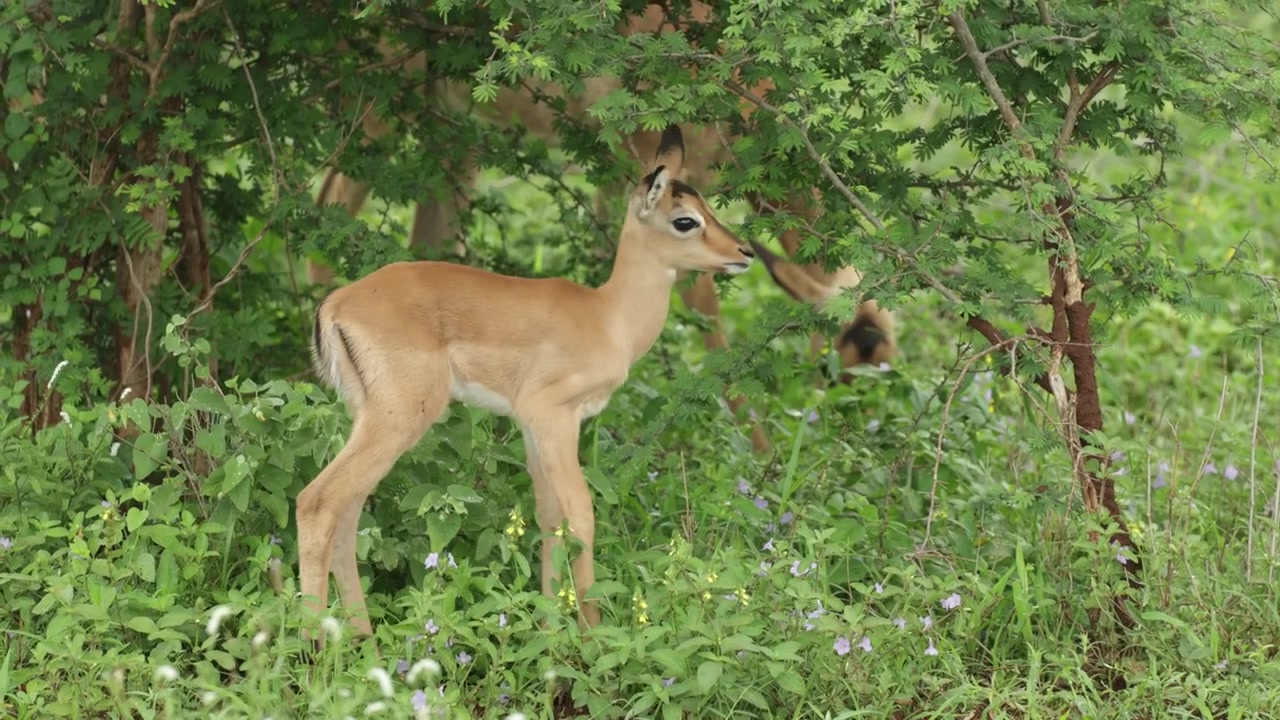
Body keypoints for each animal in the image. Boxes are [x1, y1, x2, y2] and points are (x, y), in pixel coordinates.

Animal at [297, 125, 756, 637]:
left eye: (708, 206)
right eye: (685, 220)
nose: (745, 253)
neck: (608, 317)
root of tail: (336, 305)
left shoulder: (532, 426)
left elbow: (549, 516)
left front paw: (549, 630)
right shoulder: (553, 415)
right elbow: (581, 516)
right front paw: (593, 635)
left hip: (371, 418)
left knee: (347, 513)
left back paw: (362, 641)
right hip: (399, 418)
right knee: (317, 502)